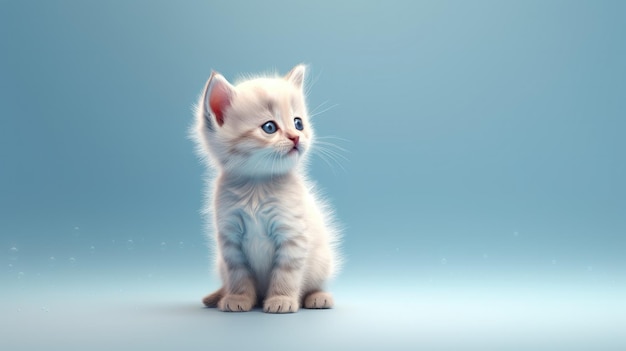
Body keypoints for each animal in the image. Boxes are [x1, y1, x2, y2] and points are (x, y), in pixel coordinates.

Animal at [191, 65, 342, 314]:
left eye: (298, 123)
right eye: (269, 127)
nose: (296, 137)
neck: (257, 186)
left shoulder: (292, 236)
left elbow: (286, 274)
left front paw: (281, 299)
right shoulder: (231, 241)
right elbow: (239, 275)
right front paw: (238, 298)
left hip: (322, 259)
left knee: (315, 283)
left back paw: (318, 297)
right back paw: (220, 296)